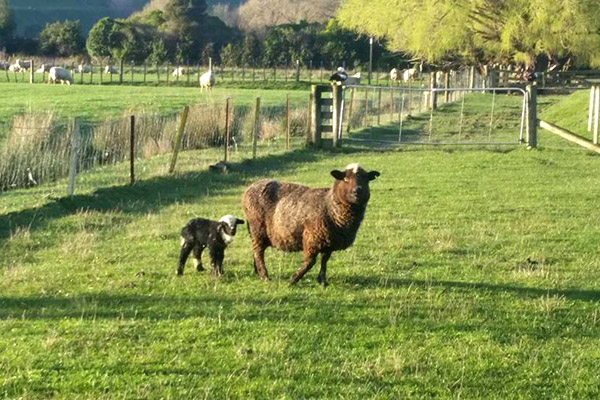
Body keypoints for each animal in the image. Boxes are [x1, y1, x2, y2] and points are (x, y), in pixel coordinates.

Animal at [240, 163, 378, 288]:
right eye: (345, 179)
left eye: (366, 179)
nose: (357, 191)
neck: (330, 206)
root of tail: (251, 187)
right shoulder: (312, 237)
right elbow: (310, 262)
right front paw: (293, 280)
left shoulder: (328, 241)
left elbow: (324, 260)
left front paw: (322, 281)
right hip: (257, 228)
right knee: (259, 252)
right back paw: (265, 276)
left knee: (256, 251)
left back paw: (258, 273)